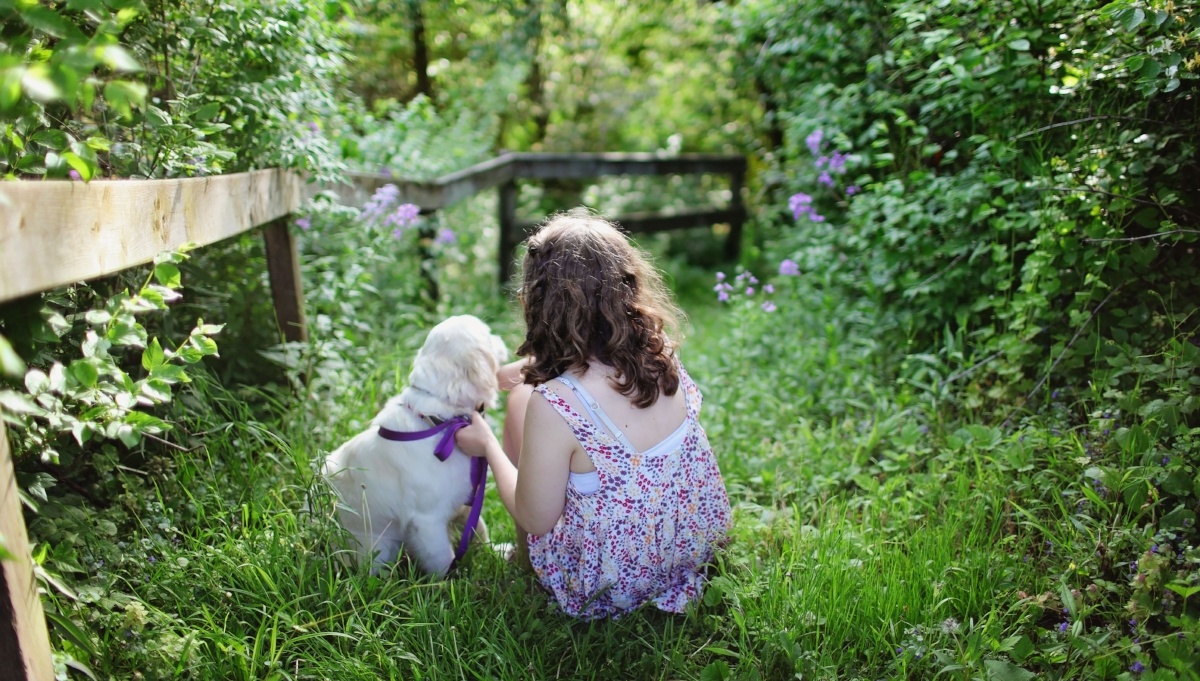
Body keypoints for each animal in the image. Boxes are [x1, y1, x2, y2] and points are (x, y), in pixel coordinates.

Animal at [324, 314, 506, 575]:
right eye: (489, 334)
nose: (501, 338)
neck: (440, 421)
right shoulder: (427, 521)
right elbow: (443, 559)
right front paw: (451, 582)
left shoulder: (465, 500)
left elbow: (479, 528)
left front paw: (497, 552)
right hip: (379, 549)